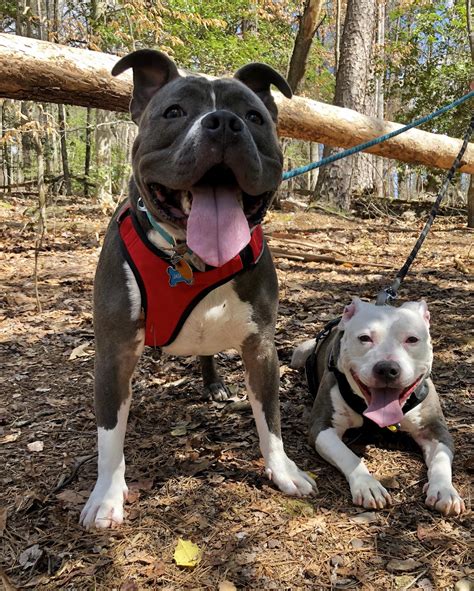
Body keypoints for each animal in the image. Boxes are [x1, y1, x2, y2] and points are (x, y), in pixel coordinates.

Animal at [80, 51, 314, 528]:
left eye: (254, 117)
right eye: (174, 112)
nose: (223, 122)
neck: (193, 259)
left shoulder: (261, 347)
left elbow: (270, 420)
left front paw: (283, 471)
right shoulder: (114, 352)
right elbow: (110, 435)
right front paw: (107, 496)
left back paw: (214, 384)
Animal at [290, 298, 464, 516]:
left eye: (412, 339)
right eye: (364, 338)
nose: (387, 368)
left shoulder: (435, 429)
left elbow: (441, 459)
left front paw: (444, 490)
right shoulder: (322, 427)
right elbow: (349, 456)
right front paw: (368, 485)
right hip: (299, 354)